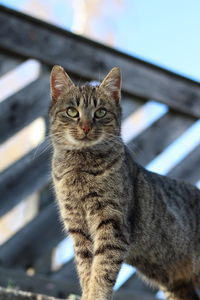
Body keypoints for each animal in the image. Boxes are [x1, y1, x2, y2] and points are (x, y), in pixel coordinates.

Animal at [49, 65, 200, 300]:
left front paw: (96, 295)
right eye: (72, 111)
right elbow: (86, 270)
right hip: (174, 283)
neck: (80, 168)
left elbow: (102, 271)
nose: (85, 127)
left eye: (100, 112)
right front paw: (87, 293)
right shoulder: (78, 229)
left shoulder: (112, 225)